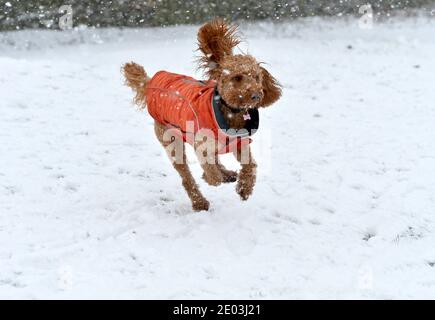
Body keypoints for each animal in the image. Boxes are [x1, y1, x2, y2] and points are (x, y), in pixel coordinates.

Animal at [122, 18, 282, 211]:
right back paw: (200, 201)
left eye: (257, 77)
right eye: (237, 77)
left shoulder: (240, 143)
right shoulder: (202, 144)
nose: (256, 95)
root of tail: (150, 84)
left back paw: (226, 174)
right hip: (172, 142)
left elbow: (250, 165)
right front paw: (213, 177)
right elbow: (211, 172)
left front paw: (244, 188)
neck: (230, 113)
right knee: (187, 177)